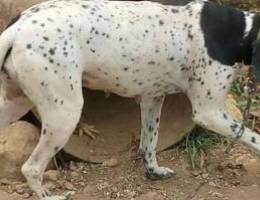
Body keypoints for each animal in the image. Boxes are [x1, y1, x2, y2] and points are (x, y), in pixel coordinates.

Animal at [0, 0, 260, 199]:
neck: (240, 33)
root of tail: (19, 25)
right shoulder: (209, 112)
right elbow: (254, 137)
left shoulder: (152, 99)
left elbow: (149, 143)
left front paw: (154, 171)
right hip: (64, 114)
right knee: (31, 168)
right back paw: (48, 195)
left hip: (16, 104)